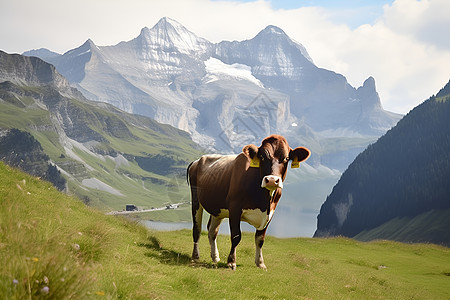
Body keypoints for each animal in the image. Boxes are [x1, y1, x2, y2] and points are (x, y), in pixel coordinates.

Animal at [185, 134, 310, 270]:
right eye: (262, 157)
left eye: (286, 158)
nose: (272, 180)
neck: (264, 201)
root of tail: (197, 161)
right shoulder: (234, 208)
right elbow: (236, 236)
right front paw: (231, 262)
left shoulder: (271, 212)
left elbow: (260, 239)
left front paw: (260, 263)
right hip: (196, 200)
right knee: (197, 229)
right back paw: (195, 256)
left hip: (218, 208)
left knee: (212, 231)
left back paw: (215, 257)